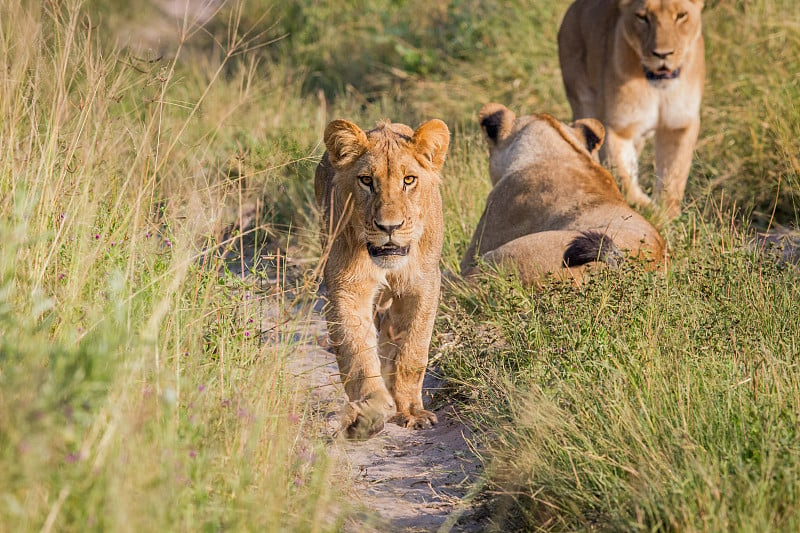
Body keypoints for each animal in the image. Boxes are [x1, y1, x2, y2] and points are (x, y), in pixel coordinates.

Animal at [314, 115, 450, 436]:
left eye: (409, 180)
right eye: (366, 180)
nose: (390, 226)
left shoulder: (423, 285)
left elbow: (412, 351)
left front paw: (412, 411)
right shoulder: (346, 289)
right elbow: (357, 352)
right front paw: (369, 413)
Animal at [560, 0, 704, 218]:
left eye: (681, 16)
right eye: (642, 17)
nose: (663, 54)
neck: (658, 90)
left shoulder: (679, 125)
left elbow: (674, 173)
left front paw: (667, 215)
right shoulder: (618, 127)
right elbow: (623, 175)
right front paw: (646, 208)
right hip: (581, 99)